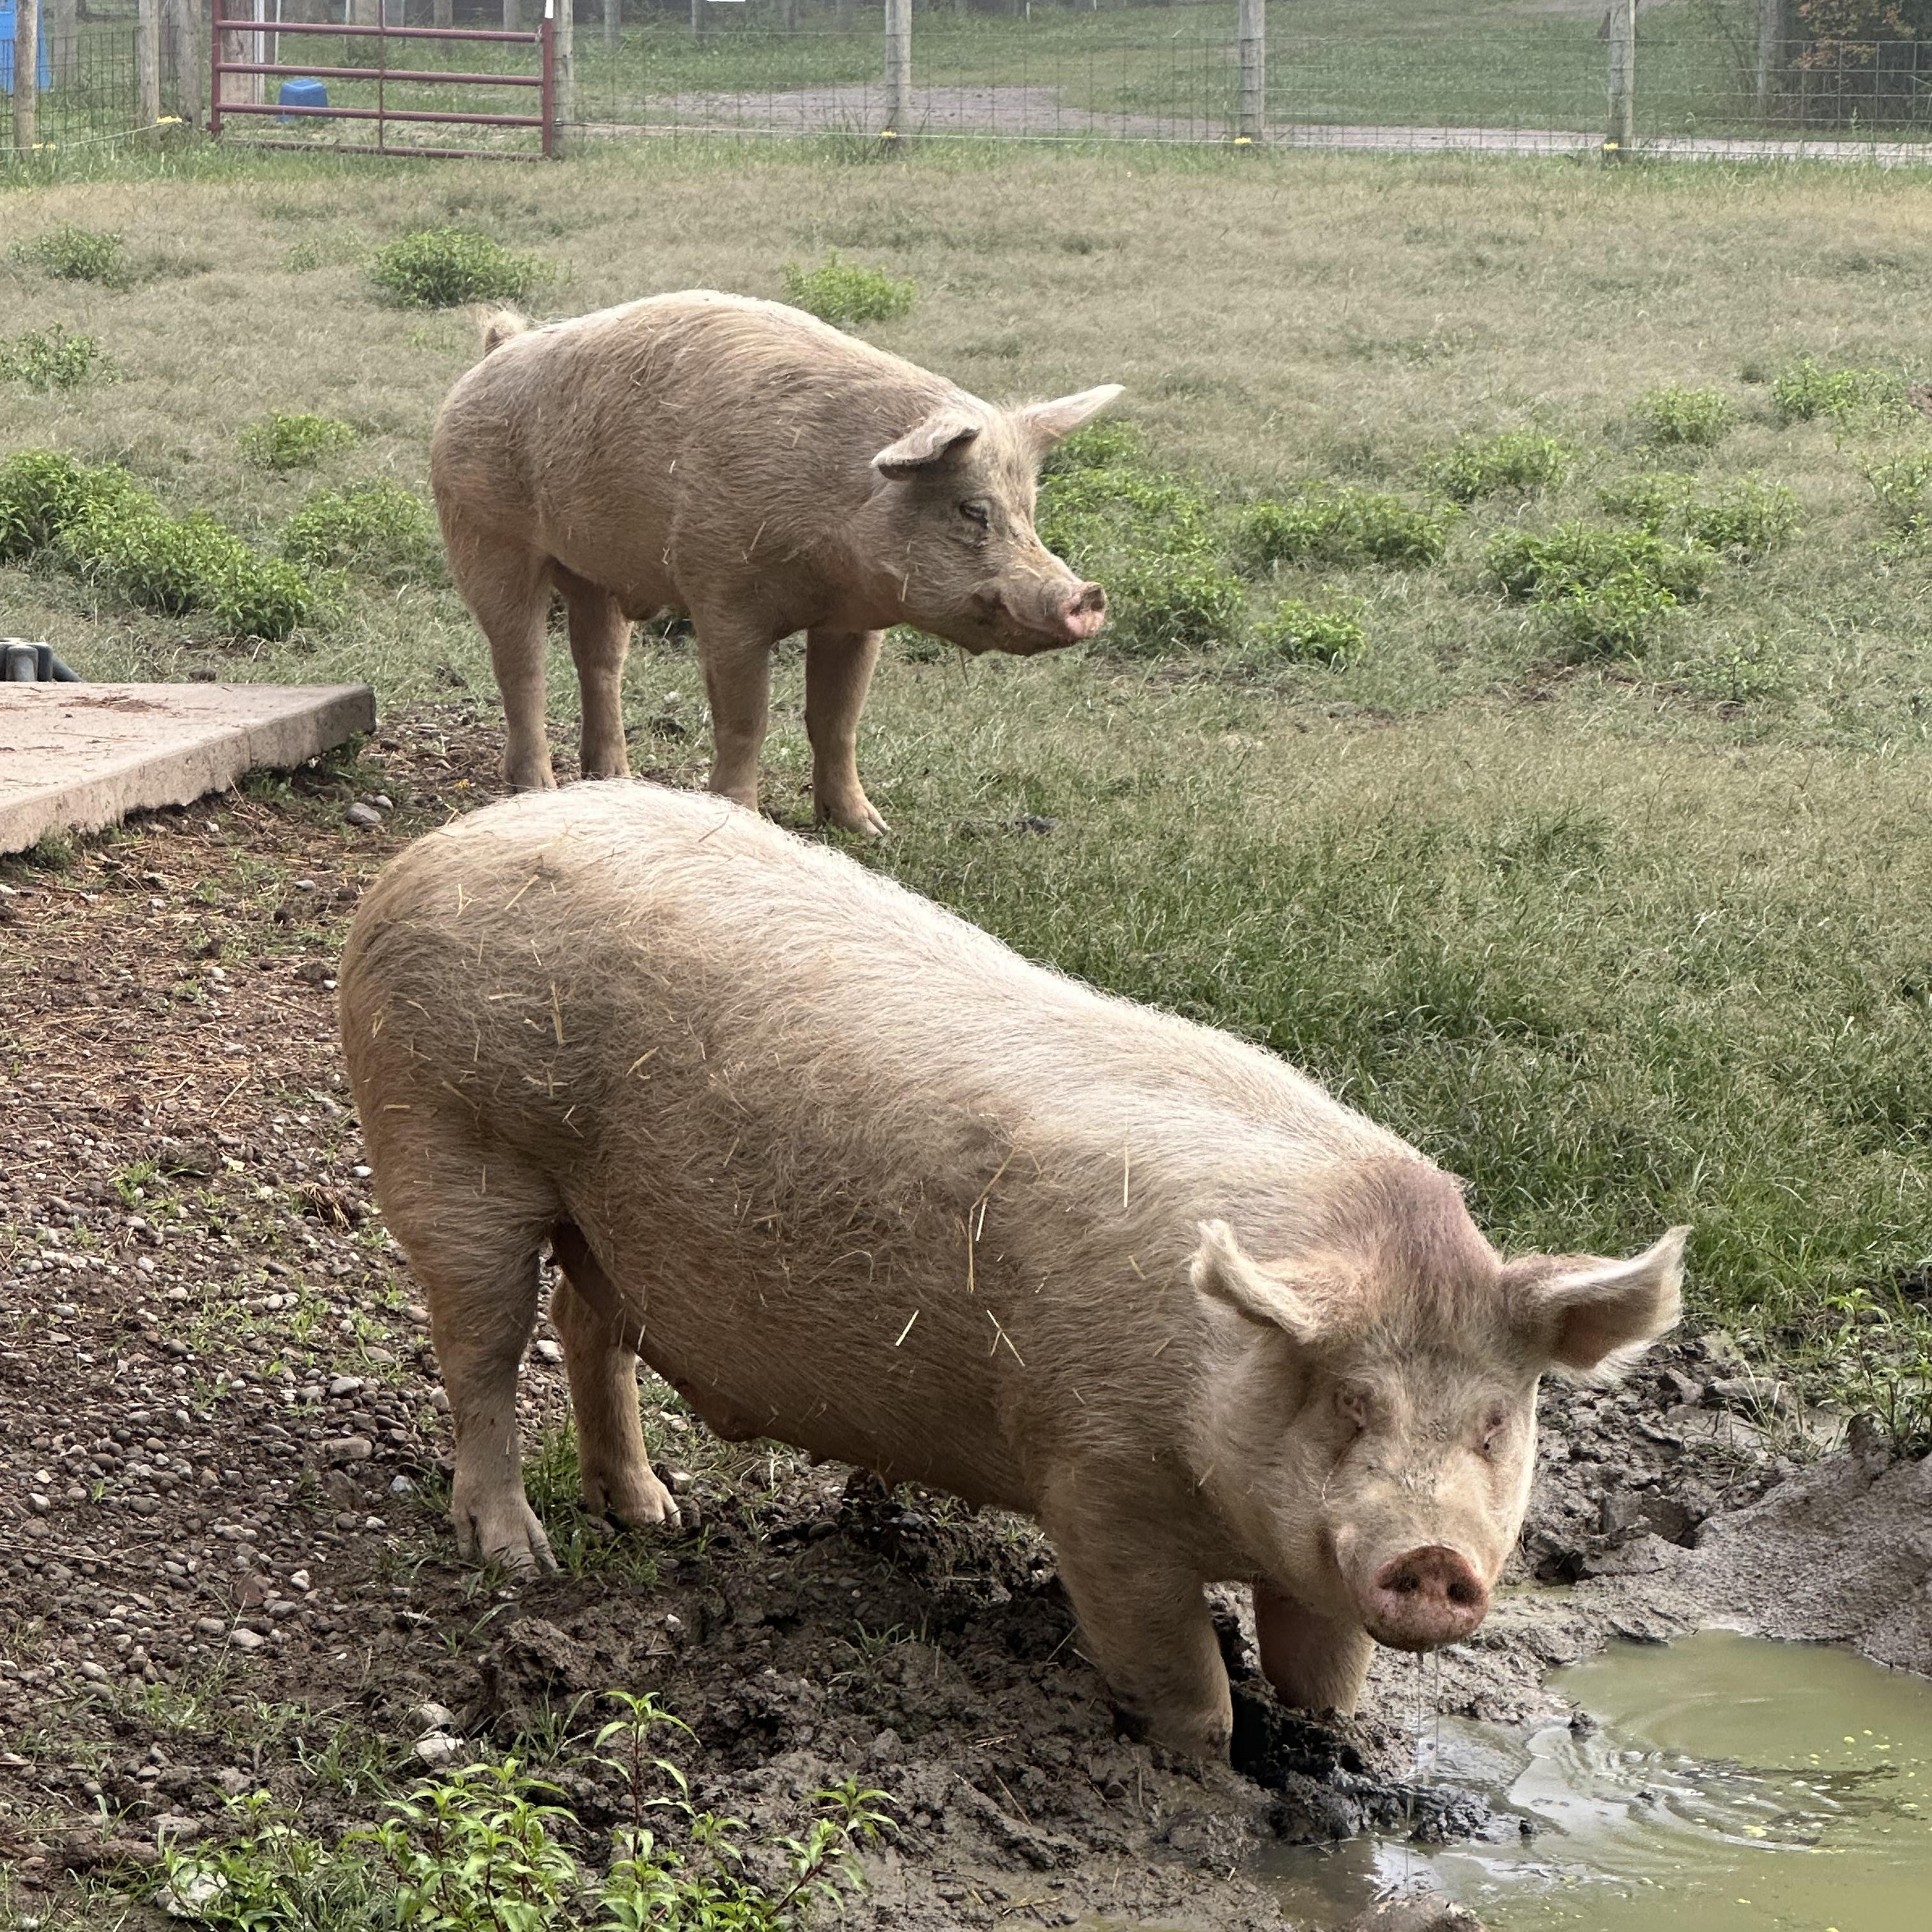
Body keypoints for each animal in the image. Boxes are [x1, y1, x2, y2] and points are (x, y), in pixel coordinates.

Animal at [338, 783, 1686, 1761]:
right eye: (1352, 1399)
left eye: (1496, 1420)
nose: (1432, 1558)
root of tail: (437, 846)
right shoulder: (1091, 1484)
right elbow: (1181, 1677)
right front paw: (1193, 1769)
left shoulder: (1305, 1555)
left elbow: (1322, 1669)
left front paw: (1324, 1741)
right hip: (449, 1144)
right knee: (481, 1351)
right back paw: (519, 1554)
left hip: (610, 1212)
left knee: (590, 1327)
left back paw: (654, 1511)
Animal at [429, 291, 1122, 834]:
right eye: (971, 509)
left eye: (1029, 510)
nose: (1086, 597)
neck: (831, 551)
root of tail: (493, 352)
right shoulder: (724, 597)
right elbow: (747, 718)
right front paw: (742, 815)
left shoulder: (857, 623)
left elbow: (837, 719)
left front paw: (871, 831)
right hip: (484, 537)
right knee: (521, 666)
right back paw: (537, 789)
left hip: (595, 572)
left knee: (599, 662)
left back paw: (614, 781)